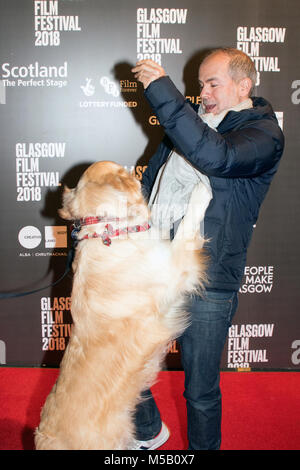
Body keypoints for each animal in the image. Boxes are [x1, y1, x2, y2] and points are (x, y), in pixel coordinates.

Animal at [34, 162, 212, 452]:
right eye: (125, 172)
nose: (140, 177)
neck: (110, 230)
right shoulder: (175, 270)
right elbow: (186, 228)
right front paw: (201, 192)